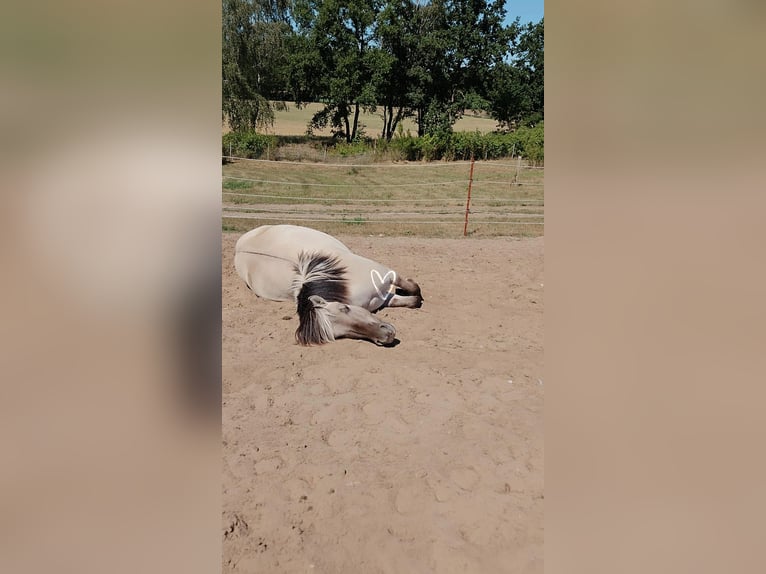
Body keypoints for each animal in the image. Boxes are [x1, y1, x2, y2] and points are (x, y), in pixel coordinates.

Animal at [234, 224, 423, 346]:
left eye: (344, 308)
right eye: (343, 334)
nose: (387, 335)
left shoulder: (388, 275)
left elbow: (414, 292)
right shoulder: (384, 297)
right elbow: (412, 300)